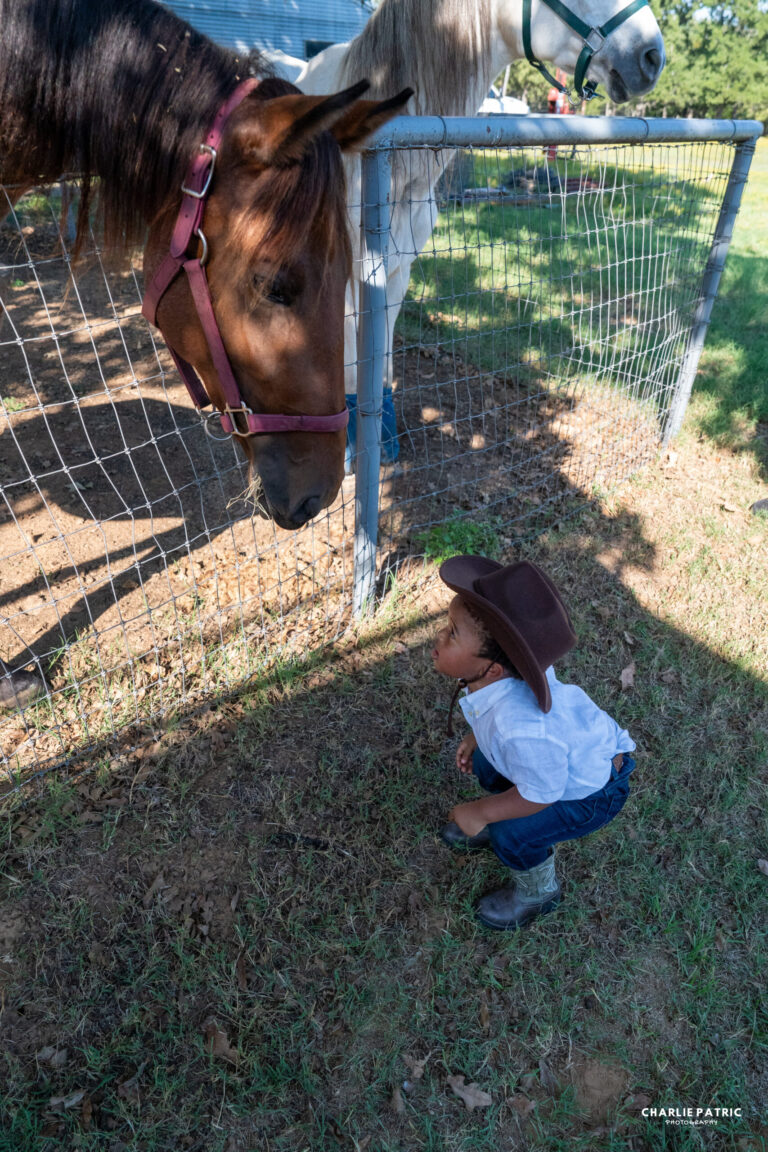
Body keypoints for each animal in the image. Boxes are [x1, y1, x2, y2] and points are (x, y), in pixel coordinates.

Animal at [275, 0, 666, 445]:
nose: (652, 57)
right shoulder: (344, 274)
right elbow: (351, 366)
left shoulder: (397, 269)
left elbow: (380, 358)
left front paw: (383, 437)